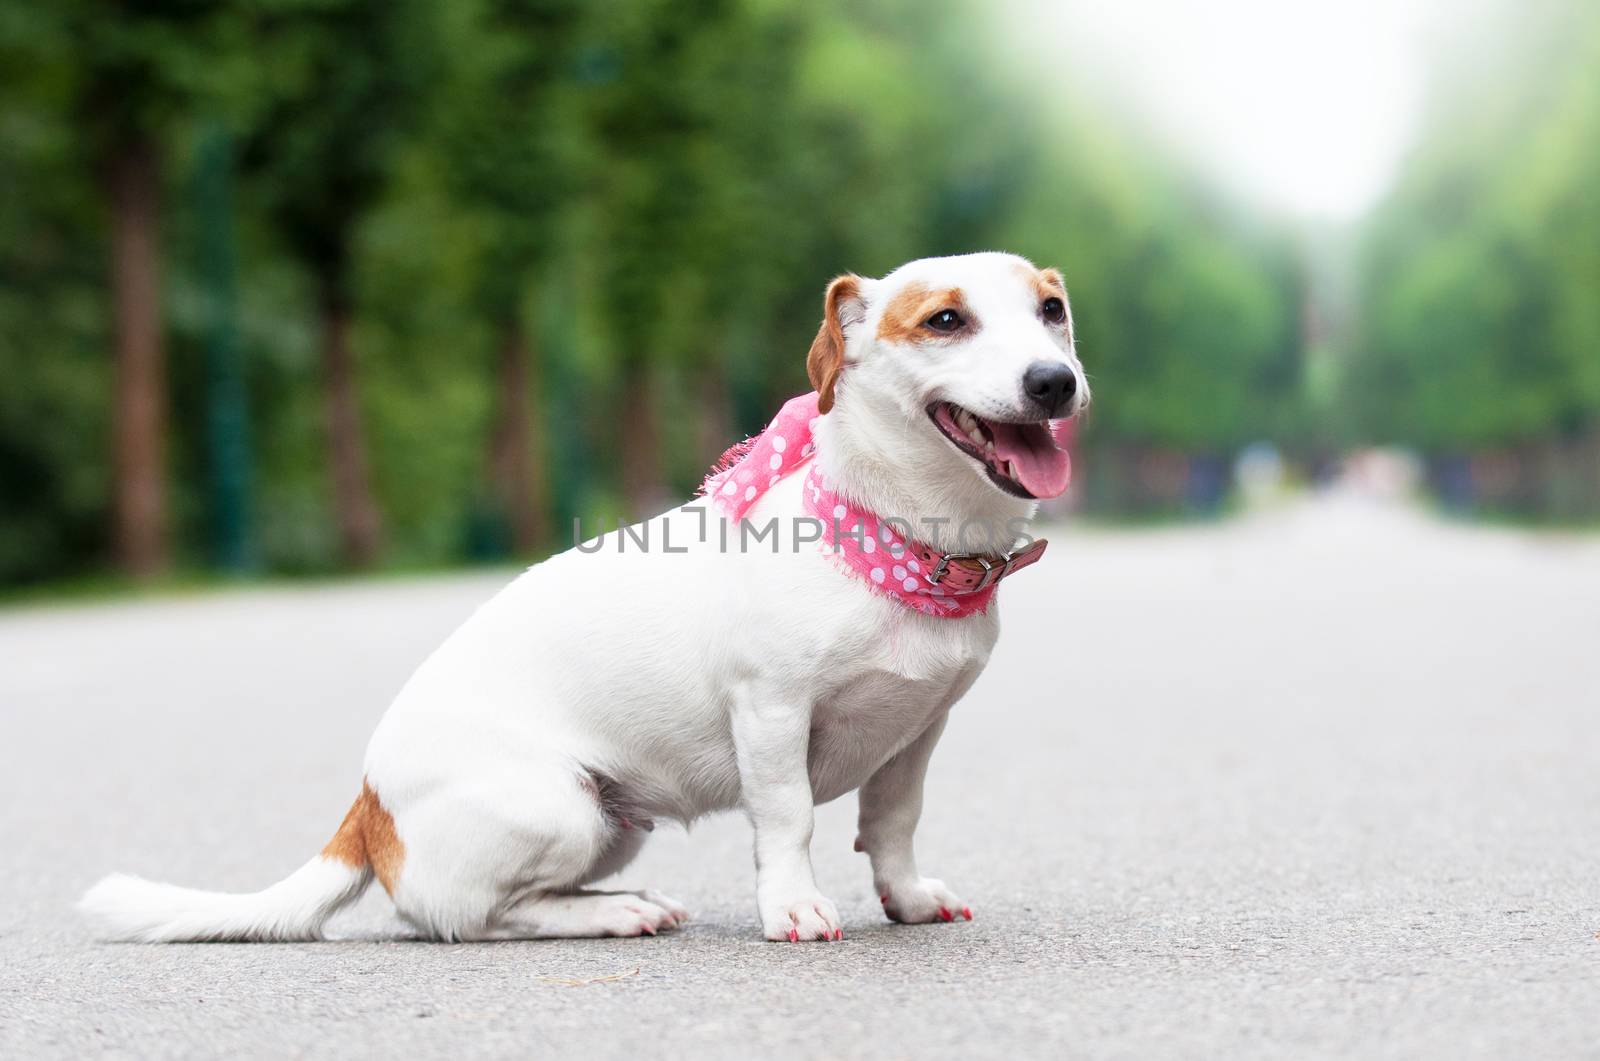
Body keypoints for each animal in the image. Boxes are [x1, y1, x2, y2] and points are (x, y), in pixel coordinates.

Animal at [84, 251, 1088, 947]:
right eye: (946, 319)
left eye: (1053, 311)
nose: (1055, 381)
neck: (897, 539)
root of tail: (367, 808)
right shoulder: (771, 714)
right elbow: (789, 818)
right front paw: (794, 907)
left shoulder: (917, 730)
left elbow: (891, 822)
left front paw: (906, 898)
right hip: (560, 808)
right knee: (470, 916)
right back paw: (611, 915)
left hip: (609, 824)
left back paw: (617, 902)